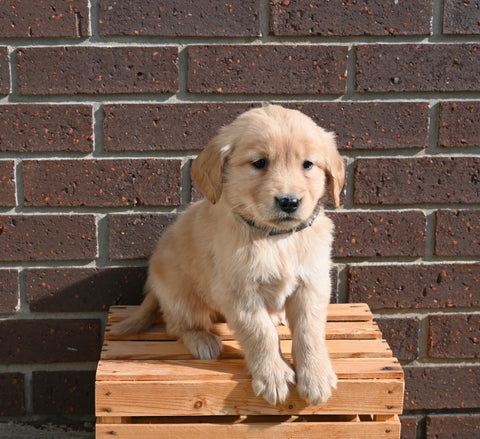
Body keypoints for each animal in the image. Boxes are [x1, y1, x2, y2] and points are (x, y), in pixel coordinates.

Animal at [113, 105, 344, 408]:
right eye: (259, 163)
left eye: (308, 165)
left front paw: (316, 377)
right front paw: (274, 375)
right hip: (180, 294)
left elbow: (309, 332)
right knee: (178, 325)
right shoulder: (240, 292)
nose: (289, 202)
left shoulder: (312, 283)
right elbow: (261, 334)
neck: (274, 238)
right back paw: (202, 339)